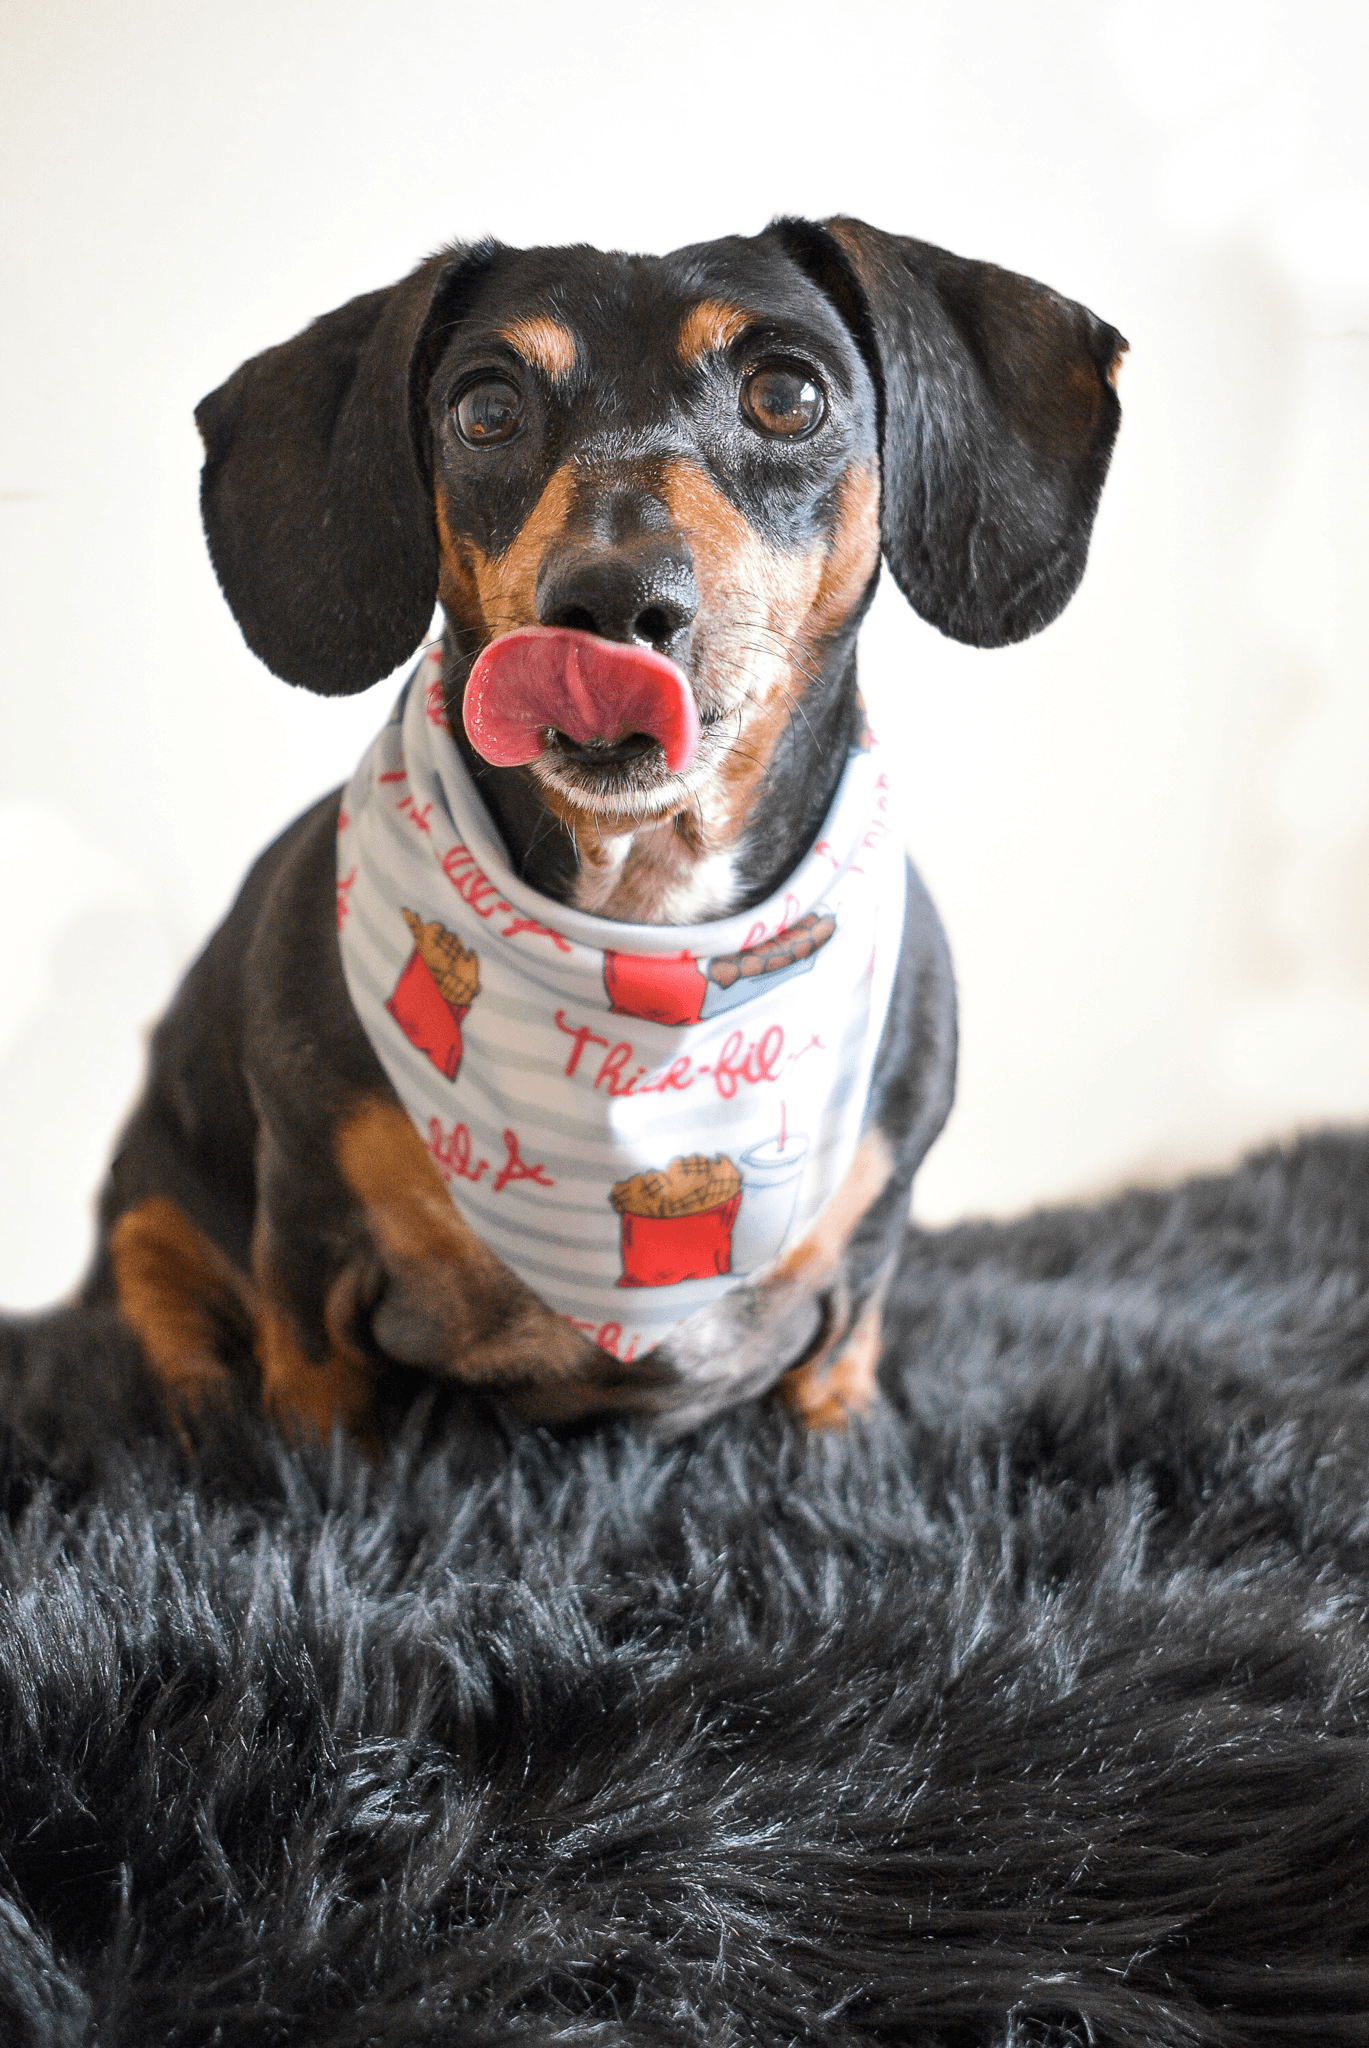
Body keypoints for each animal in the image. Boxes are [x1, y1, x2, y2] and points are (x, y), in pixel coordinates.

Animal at [77, 216, 1123, 1441]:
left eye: (786, 394)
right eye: (485, 409)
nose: (612, 603)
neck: (646, 922)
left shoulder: (860, 1261)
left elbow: (837, 1376)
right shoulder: (308, 1257)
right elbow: (315, 1416)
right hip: (148, 1207)